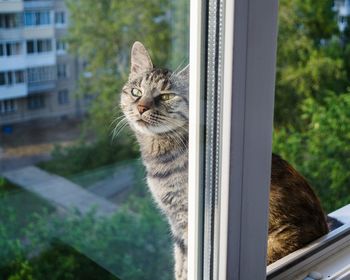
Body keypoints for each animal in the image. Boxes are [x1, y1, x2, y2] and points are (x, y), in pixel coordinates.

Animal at [119, 41, 328, 280]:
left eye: (166, 97)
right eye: (136, 91)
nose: (141, 107)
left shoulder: (188, 222)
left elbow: (186, 264)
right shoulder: (176, 226)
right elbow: (180, 263)